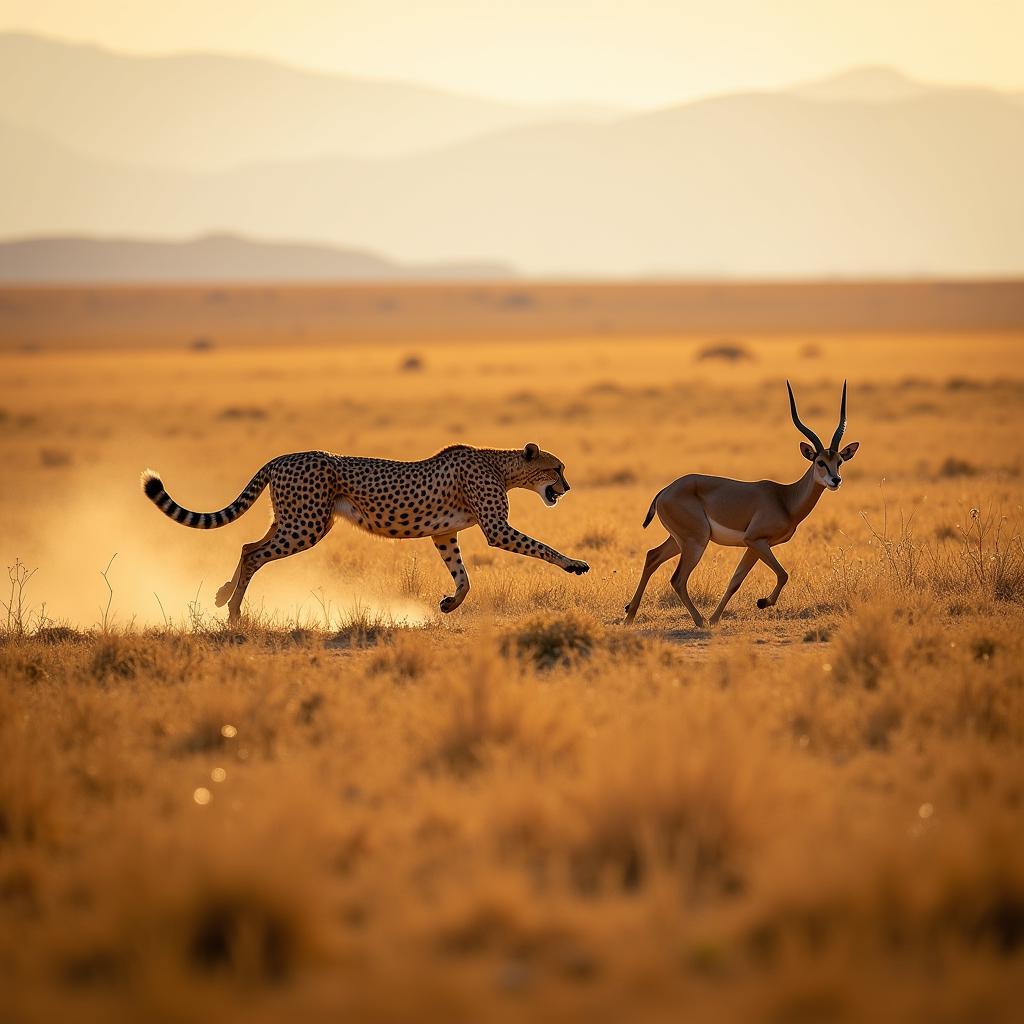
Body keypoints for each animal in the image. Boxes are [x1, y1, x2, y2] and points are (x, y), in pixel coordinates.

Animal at [140, 442, 589, 622]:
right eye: (557, 468)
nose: (568, 488)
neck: (501, 466)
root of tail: (284, 456)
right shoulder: (496, 528)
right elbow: (542, 547)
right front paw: (575, 565)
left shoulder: (444, 535)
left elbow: (463, 577)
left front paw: (449, 604)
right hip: (305, 526)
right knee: (253, 552)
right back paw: (234, 613)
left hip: (298, 521)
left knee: (249, 543)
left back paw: (221, 596)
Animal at [622, 382, 856, 626]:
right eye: (820, 461)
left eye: (839, 461)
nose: (835, 480)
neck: (785, 498)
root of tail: (666, 490)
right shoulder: (756, 540)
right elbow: (783, 574)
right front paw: (761, 603)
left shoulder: (756, 546)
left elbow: (735, 581)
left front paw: (716, 618)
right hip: (696, 541)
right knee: (677, 579)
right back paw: (699, 621)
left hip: (680, 541)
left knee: (652, 556)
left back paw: (630, 615)